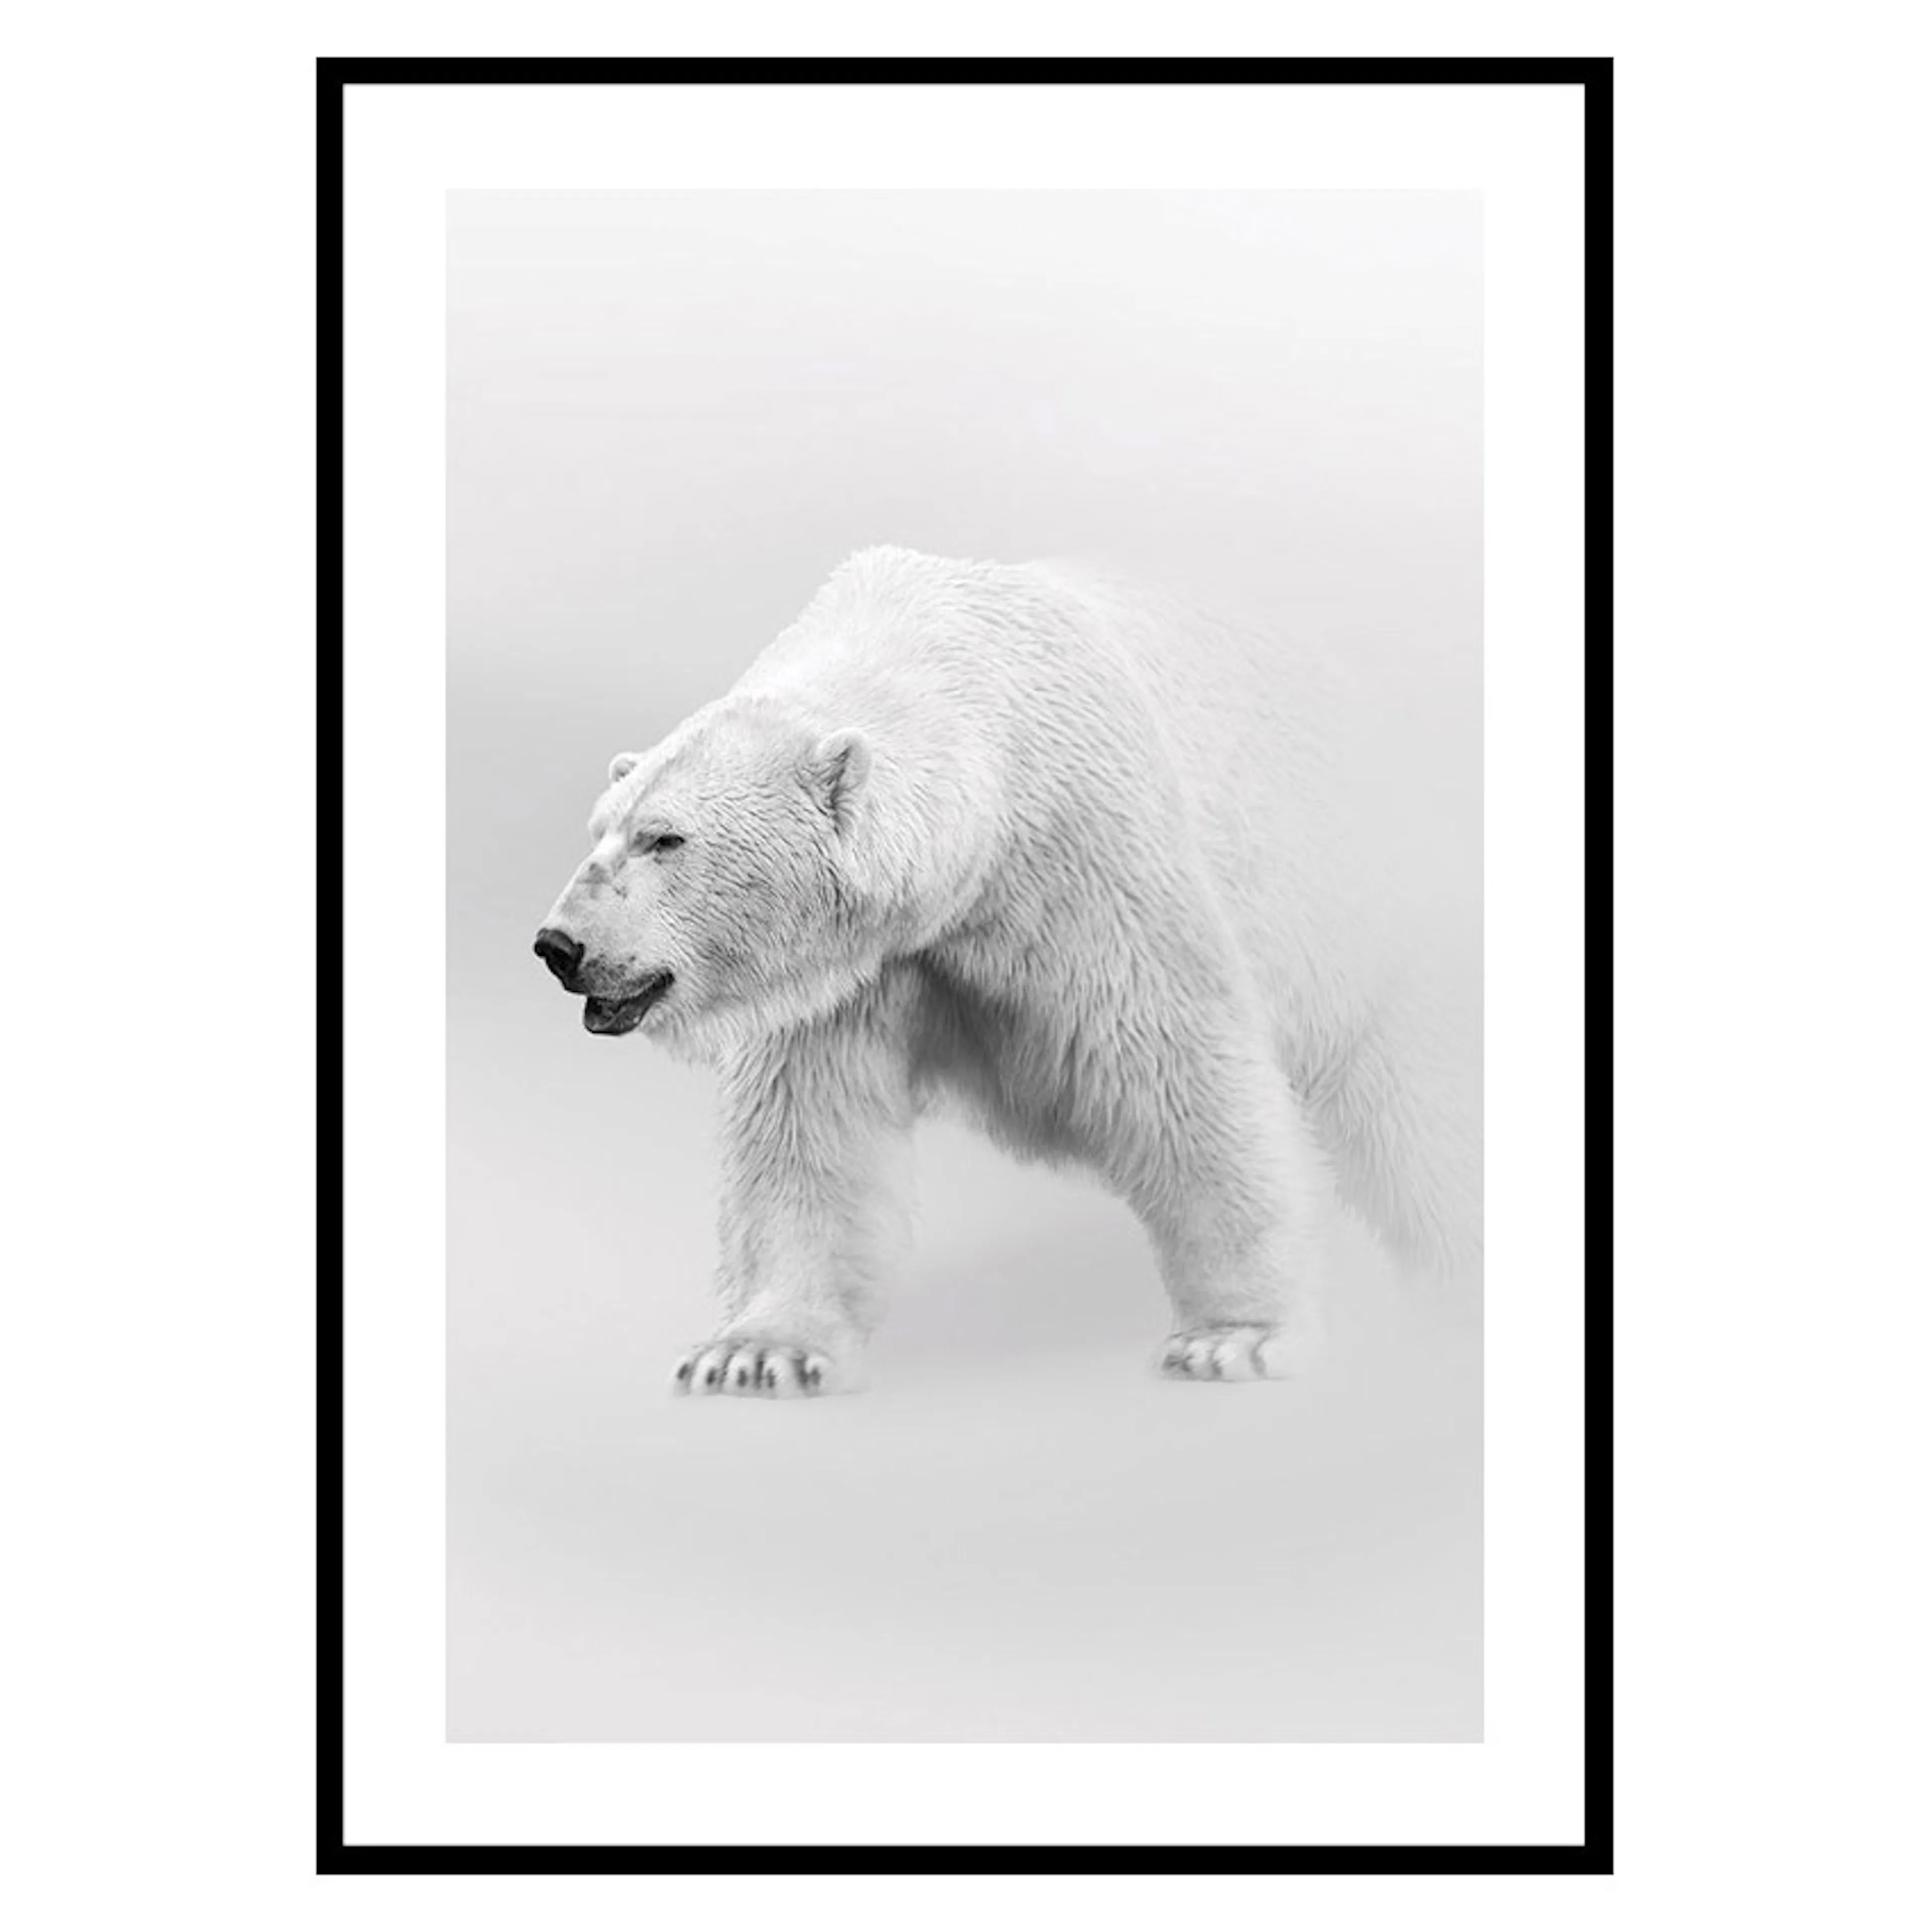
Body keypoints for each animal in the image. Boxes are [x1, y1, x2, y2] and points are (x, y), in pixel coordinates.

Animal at [535, 546, 1479, 1397]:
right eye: (599, 829)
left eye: (666, 838)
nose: (558, 946)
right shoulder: (853, 968)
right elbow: (807, 1128)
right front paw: (755, 1352)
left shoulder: (1089, 860)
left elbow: (1180, 1074)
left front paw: (1237, 1339)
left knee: (1426, 1122)